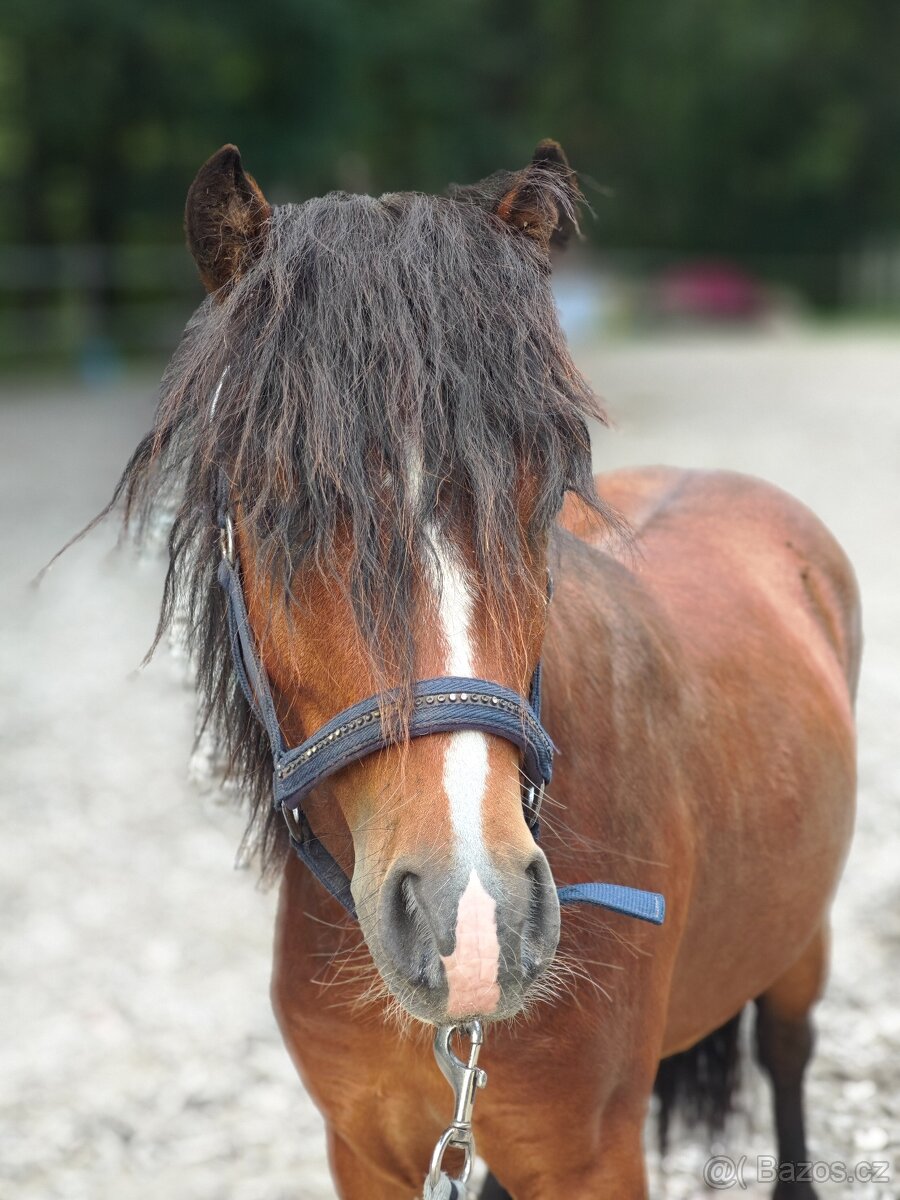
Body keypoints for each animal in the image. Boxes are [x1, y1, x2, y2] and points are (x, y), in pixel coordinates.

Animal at [105, 141, 860, 1198]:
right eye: (275, 503)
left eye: (542, 493)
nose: (473, 924)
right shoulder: (364, 1150)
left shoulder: (592, 1160)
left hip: (799, 947)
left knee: (786, 1055)